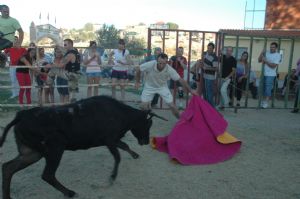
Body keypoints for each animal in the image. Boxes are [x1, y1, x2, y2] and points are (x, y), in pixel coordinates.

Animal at [0, 95, 165, 198]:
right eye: (147, 124)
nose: (145, 141)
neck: (120, 113)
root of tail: (21, 116)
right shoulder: (110, 140)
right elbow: (118, 156)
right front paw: (112, 177)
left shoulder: (111, 140)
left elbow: (124, 146)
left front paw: (135, 155)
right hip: (55, 150)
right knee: (47, 174)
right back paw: (70, 193)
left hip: (32, 153)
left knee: (8, 168)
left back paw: (8, 196)